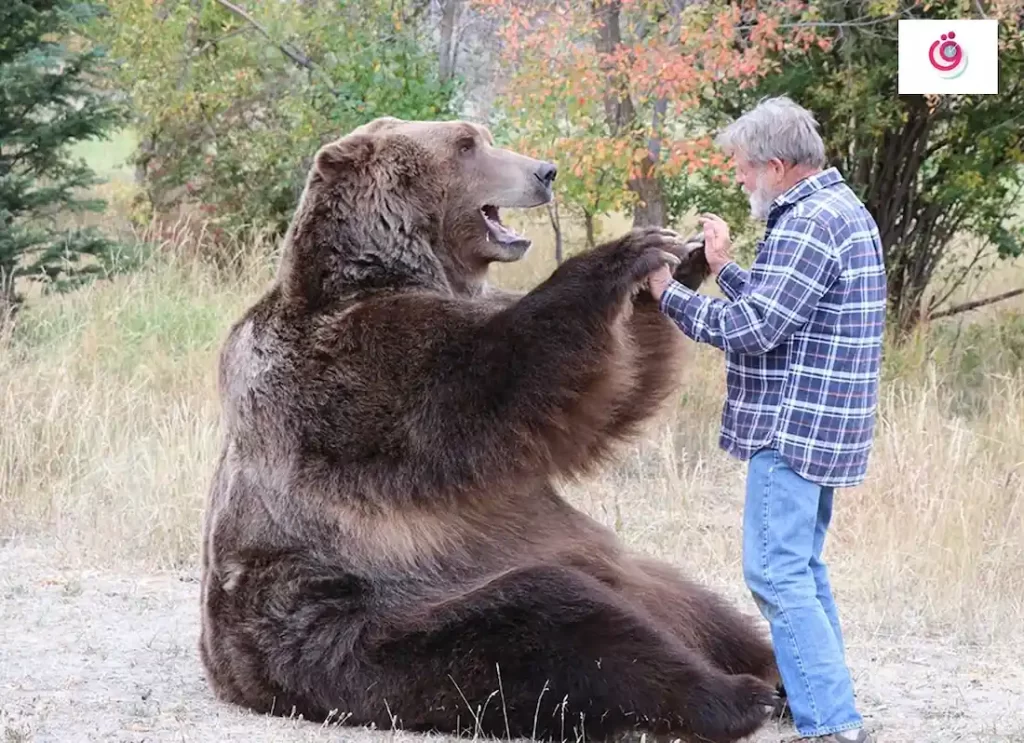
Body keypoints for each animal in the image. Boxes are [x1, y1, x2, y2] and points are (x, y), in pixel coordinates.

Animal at [197, 116, 774, 743]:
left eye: (482, 135)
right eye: (466, 143)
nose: (545, 171)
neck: (400, 268)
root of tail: (229, 678)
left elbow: (613, 389)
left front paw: (685, 258)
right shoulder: (349, 372)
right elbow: (494, 381)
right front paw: (626, 253)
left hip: (628, 572)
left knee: (702, 610)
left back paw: (768, 668)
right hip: (353, 618)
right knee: (550, 628)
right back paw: (733, 696)